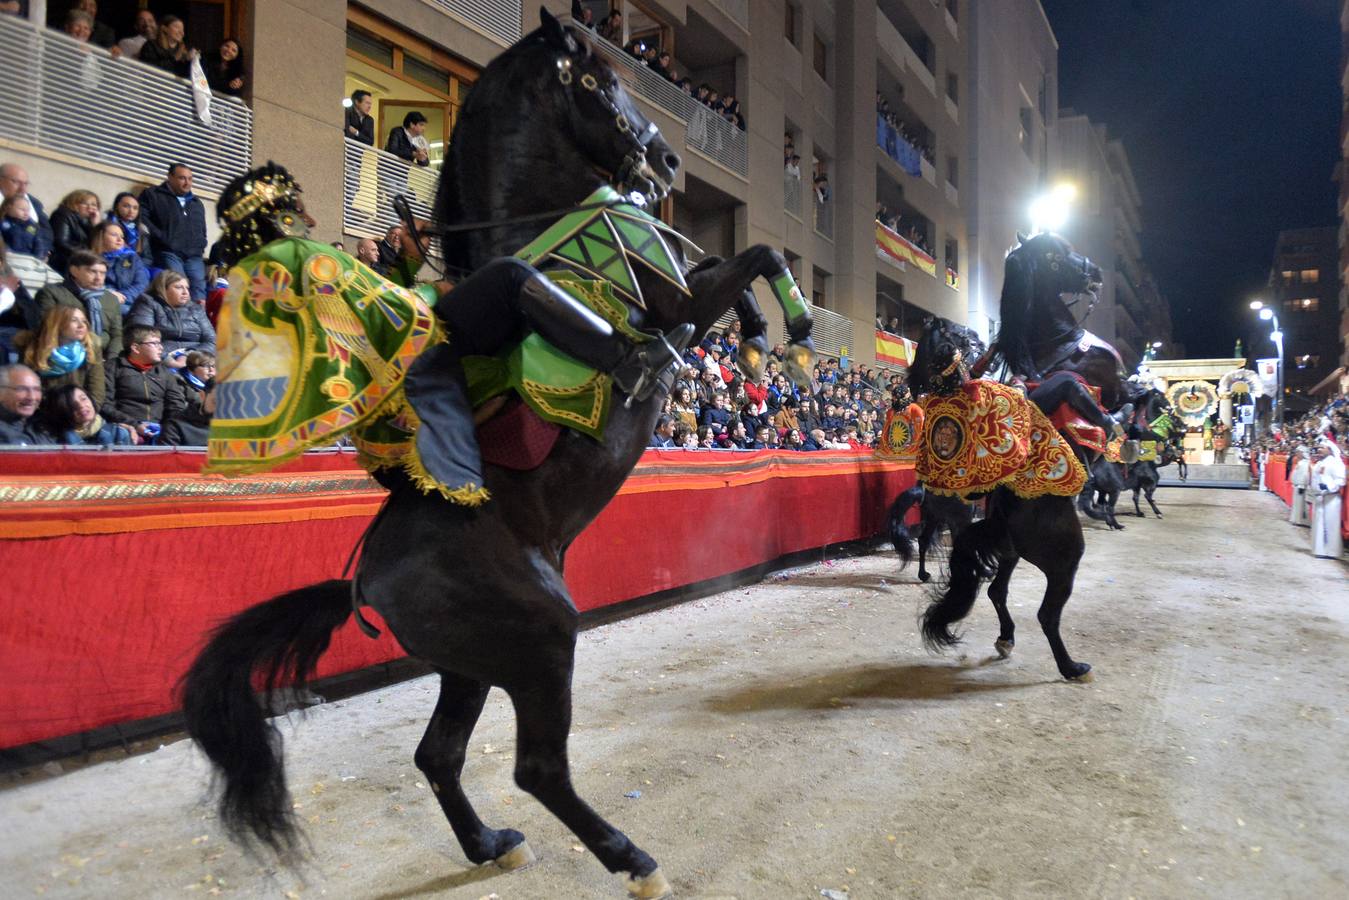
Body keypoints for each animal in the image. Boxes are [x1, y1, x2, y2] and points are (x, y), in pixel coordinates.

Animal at [179, 10, 809, 895]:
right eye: (596, 81)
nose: (665, 163)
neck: (535, 225)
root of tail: (364, 579)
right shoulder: (673, 300)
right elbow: (752, 260)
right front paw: (773, 335)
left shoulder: (684, 289)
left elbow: (739, 262)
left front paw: (760, 337)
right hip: (543, 635)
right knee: (536, 767)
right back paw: (630, 859)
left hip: (474, 661)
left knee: (439, 755)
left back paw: (490, 844)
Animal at [901, 319, 1089, 680]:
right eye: (964, 338)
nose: (979, 339)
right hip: (1063, 559)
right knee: (1046, 614)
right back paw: (1072, 667)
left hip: (1008, 549)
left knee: (995, 591)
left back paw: (1006, 639)